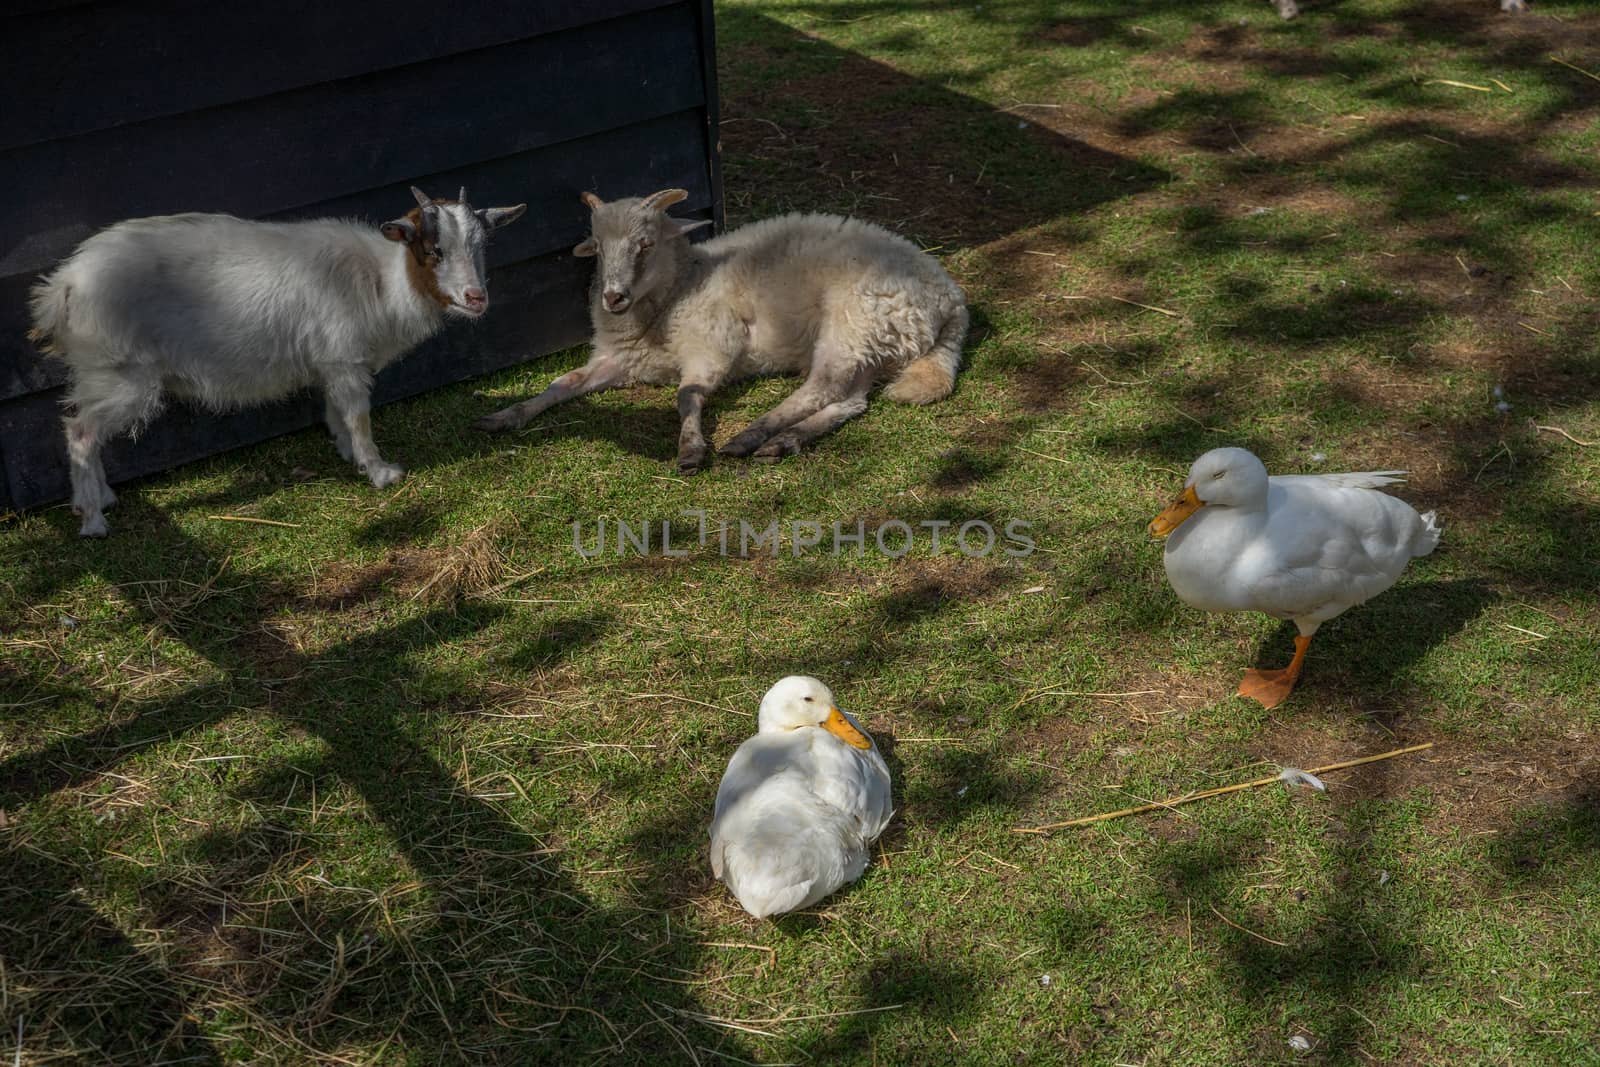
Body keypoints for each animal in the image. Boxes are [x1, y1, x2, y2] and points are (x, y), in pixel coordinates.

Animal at [28, 188, 524, 537]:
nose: (476, 298)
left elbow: (335, 413)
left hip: (97, 370)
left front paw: (350, 456)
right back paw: (93, 519)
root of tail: (66, 285)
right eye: (433, 249)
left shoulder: (331, 362)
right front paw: (380, 471)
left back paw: (100, 497)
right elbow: (358, 416)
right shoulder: (345, 359)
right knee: (80, 432)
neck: (381, 282)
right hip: (122, 373)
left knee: (83, 426)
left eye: (482, 246)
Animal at [467, 188, 966, 470]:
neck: (680, 287)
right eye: (598, 249)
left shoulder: (713, 344)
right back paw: (785, 441)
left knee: (820, 388)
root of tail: (951, 299)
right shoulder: (620, 362)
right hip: (873, 346)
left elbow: (687, 396)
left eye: (646, 244)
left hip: (850, 325)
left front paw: (690, 449)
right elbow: (562, 384)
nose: (612, 298)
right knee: (849, 401)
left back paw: (752, 435)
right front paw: (505, 416)